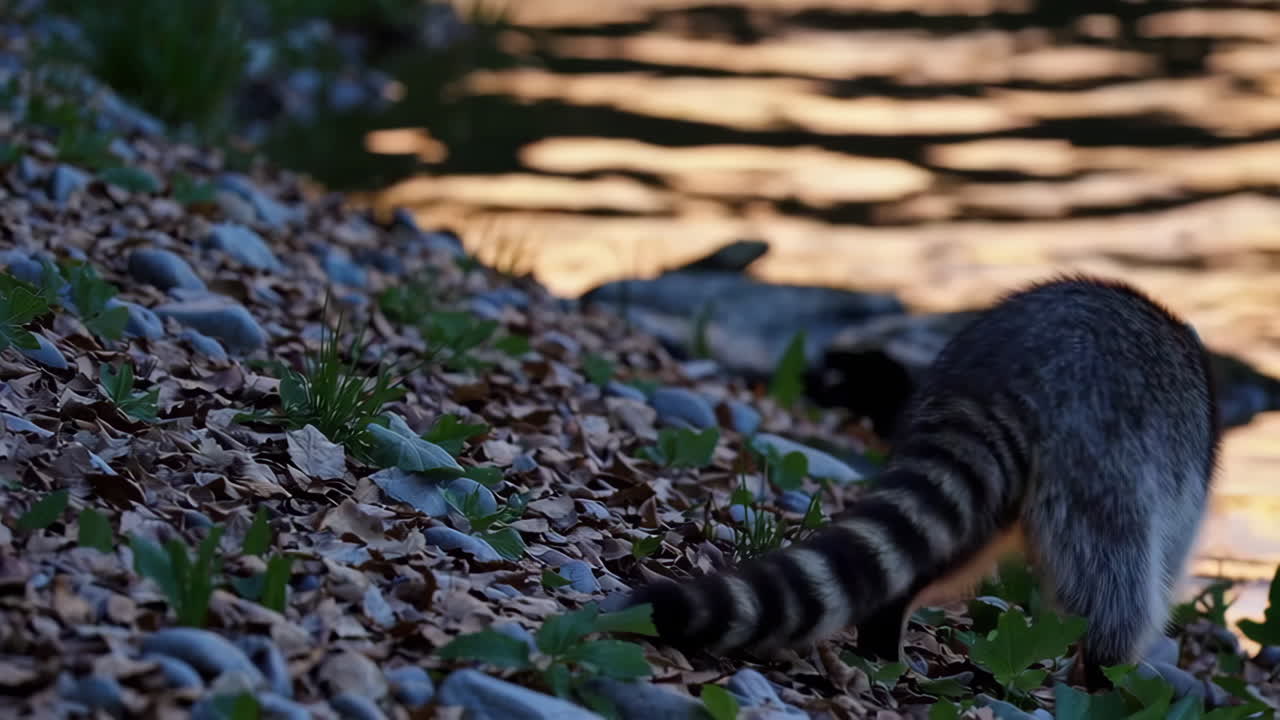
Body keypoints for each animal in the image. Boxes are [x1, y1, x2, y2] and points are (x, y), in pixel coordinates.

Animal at [627, 276, 1220, 688]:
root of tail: (1002, 375)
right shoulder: (1177, 470)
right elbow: (1164, 557)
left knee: (948, 545)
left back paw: (884, 627)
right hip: (1105, 456)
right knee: (1117, 580)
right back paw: (1105, 675)